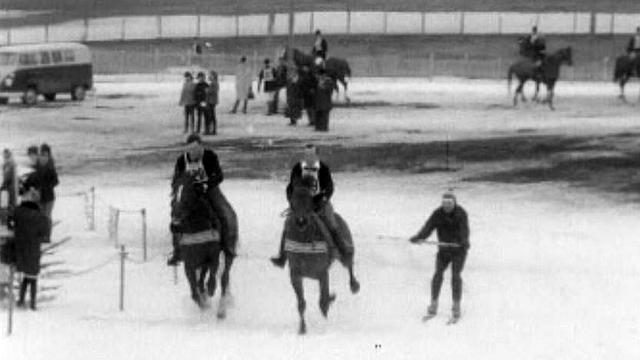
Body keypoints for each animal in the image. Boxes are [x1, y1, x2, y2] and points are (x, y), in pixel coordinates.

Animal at [171, 172, 234, 318]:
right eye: (174, 193)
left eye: (189, 194)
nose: (175, 224)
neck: (197, 227)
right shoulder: (189, 262)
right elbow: (195, 292)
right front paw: (204, 305)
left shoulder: (213, 256)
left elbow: (212, 281)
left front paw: (209, 293)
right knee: (202, 281)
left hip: (228, 254)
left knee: (224, 278)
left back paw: (222, 309)